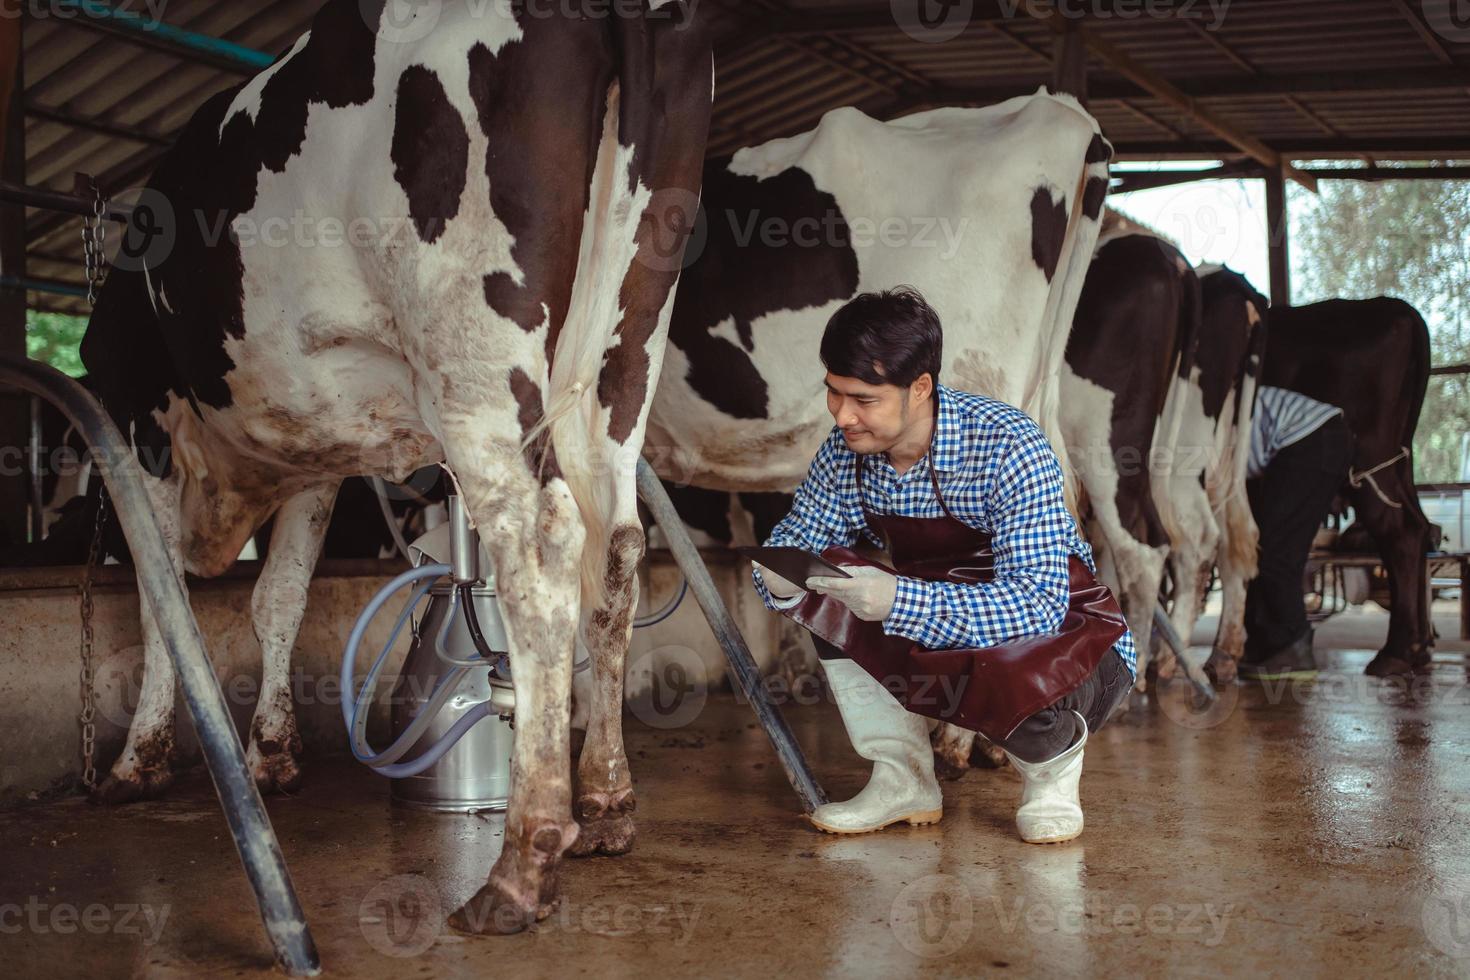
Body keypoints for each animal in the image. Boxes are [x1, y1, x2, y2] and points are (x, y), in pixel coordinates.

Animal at [80, 0, 711, 934]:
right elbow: (280, 598)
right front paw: (272, 753)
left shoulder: (139, 416)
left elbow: (165, 601)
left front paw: (137, 761)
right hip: (624, 355)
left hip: (474, 360)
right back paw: (605, 807)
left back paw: (521, 864)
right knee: (620, 555)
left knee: (541, 552)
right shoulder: (313, 455)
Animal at [1264, 299, 1434, 678]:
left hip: (1370, 462)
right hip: (1398, 464)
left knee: (1400, 532)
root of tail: (1394, 307)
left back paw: (1396, 651)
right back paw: (1419, 647)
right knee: (1419, 527)